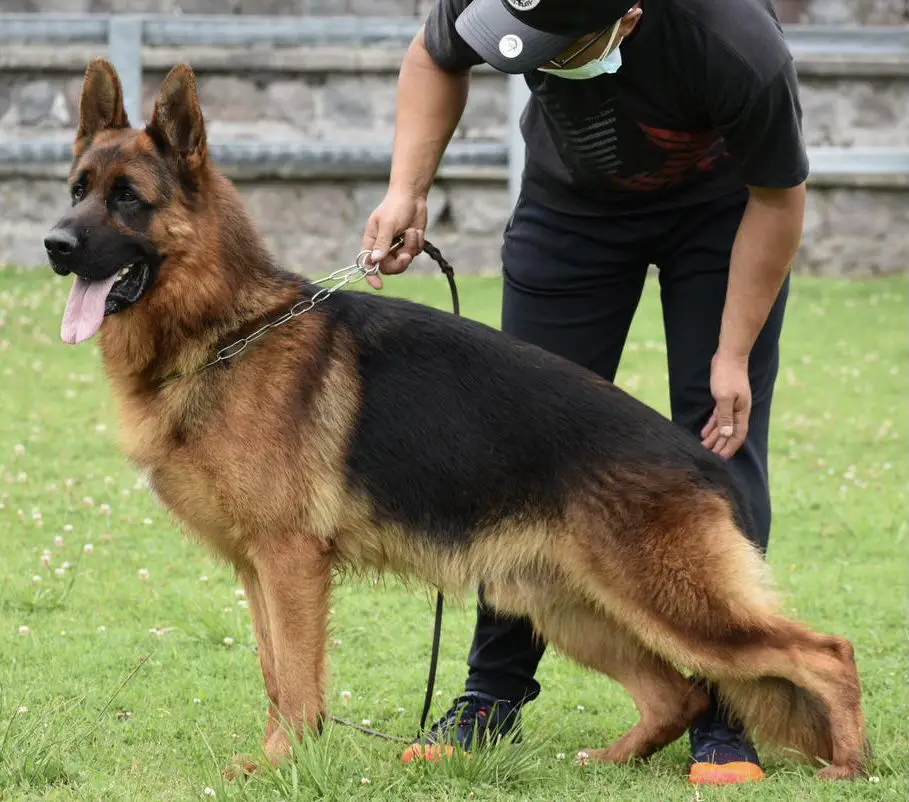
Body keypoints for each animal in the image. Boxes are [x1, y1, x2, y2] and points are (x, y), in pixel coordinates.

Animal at [44, 57, 864, 780]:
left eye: (128, 198)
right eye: (77, 189)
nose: (53, 244)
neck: (224, 330)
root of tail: (701, 459)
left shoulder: (290, 562)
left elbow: (300, 683)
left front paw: (285, 766)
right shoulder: (257, 569)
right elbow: (277, 677)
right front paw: (278, 760)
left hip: (677, 606)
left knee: (825, 654)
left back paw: (848, 766)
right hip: (570, 607)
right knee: (679, 693)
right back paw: (608, 762)